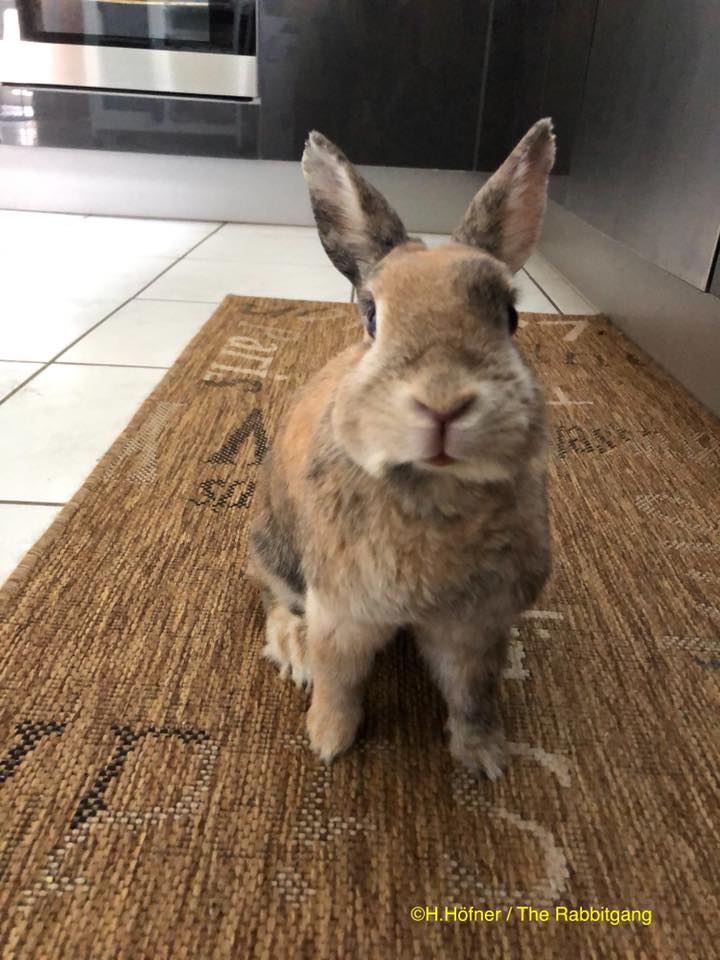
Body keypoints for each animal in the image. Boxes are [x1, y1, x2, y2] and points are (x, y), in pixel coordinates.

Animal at [248, 119, 555, 779]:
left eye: (511, 317)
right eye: (371, 316)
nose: (442, 404)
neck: (433, 493)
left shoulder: (475, 629)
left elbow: (472, 695)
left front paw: (484, 759)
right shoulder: (343, 612)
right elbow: (340, 682)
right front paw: (328, 741)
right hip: (277, 551)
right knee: (275, 601)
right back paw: (294, 650)